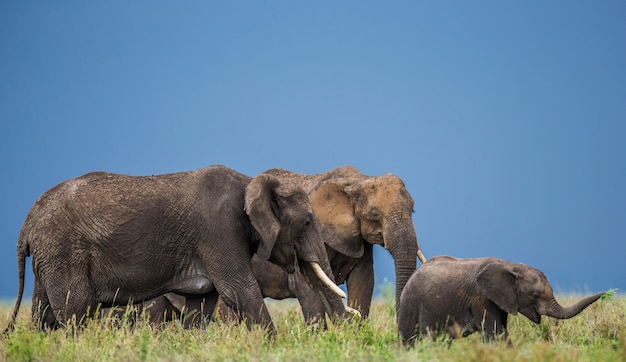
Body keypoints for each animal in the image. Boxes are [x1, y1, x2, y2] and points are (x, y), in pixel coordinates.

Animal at [3, 165, 352, 336]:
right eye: (307, 222)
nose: (346, 333)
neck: (251, 182)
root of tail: (26, 225)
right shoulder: (219, 230)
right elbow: (240, 291)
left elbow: (202, 305)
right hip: (64, 253)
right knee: (75, 311)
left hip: (49, 257)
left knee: (44, 313)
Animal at [394, 255, 604, 346]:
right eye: (535, 295)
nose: (605, 292)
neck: (511, 266)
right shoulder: (481, 298)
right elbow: (495, 333)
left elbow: (502, 331)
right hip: (411, 303)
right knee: (410, 339)